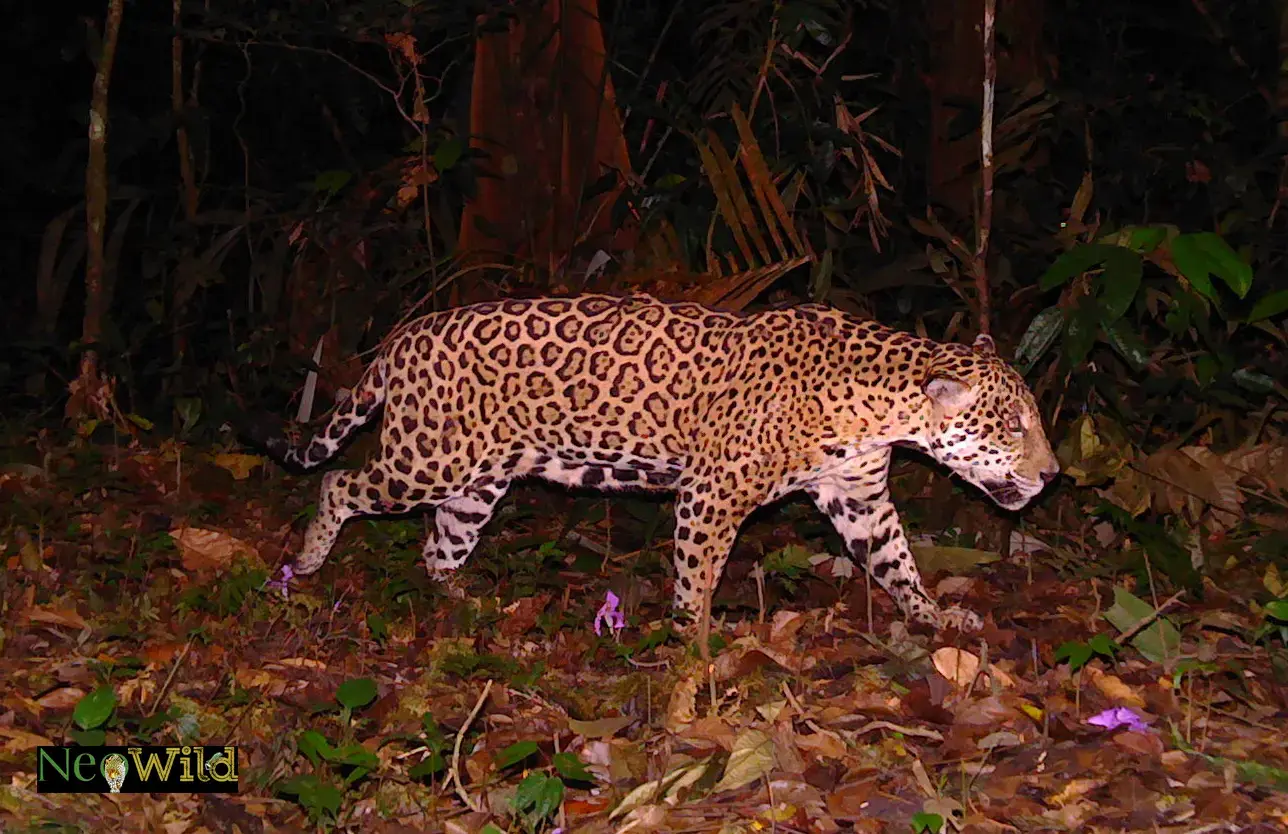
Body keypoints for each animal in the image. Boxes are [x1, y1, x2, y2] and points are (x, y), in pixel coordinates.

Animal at [251, 292, 1060, 633]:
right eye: (1014, 423)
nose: (1054, 474)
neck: (880, 404)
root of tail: (403, 334)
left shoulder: (857, 497)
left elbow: (897, 560)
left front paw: (933, 617)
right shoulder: (713, 491)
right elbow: (697, 573)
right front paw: (693, 640)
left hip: (477, 480)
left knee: (438, 545)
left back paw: (461, 600)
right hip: (427, 458)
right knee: (339, 481)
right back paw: (308, 564)